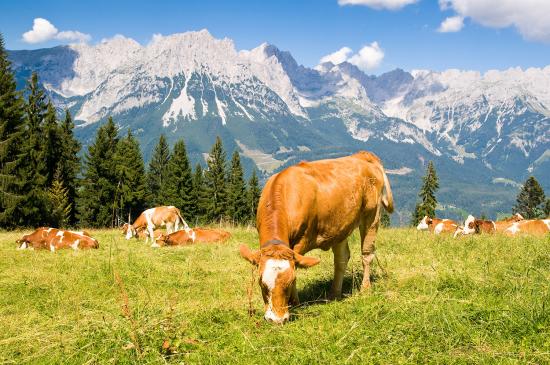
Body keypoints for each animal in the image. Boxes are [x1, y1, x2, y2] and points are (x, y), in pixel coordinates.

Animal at [239, 152, 394, 322]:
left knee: (367, 255)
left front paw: (295, 302)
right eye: (261, 282)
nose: (277, 320)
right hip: (341, 226)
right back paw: (334, 293)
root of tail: (363, 155)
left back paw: (365, 289)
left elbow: (297, 265)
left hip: (371, 215)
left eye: (290, 281)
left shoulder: (302, 240)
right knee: (342, 258)